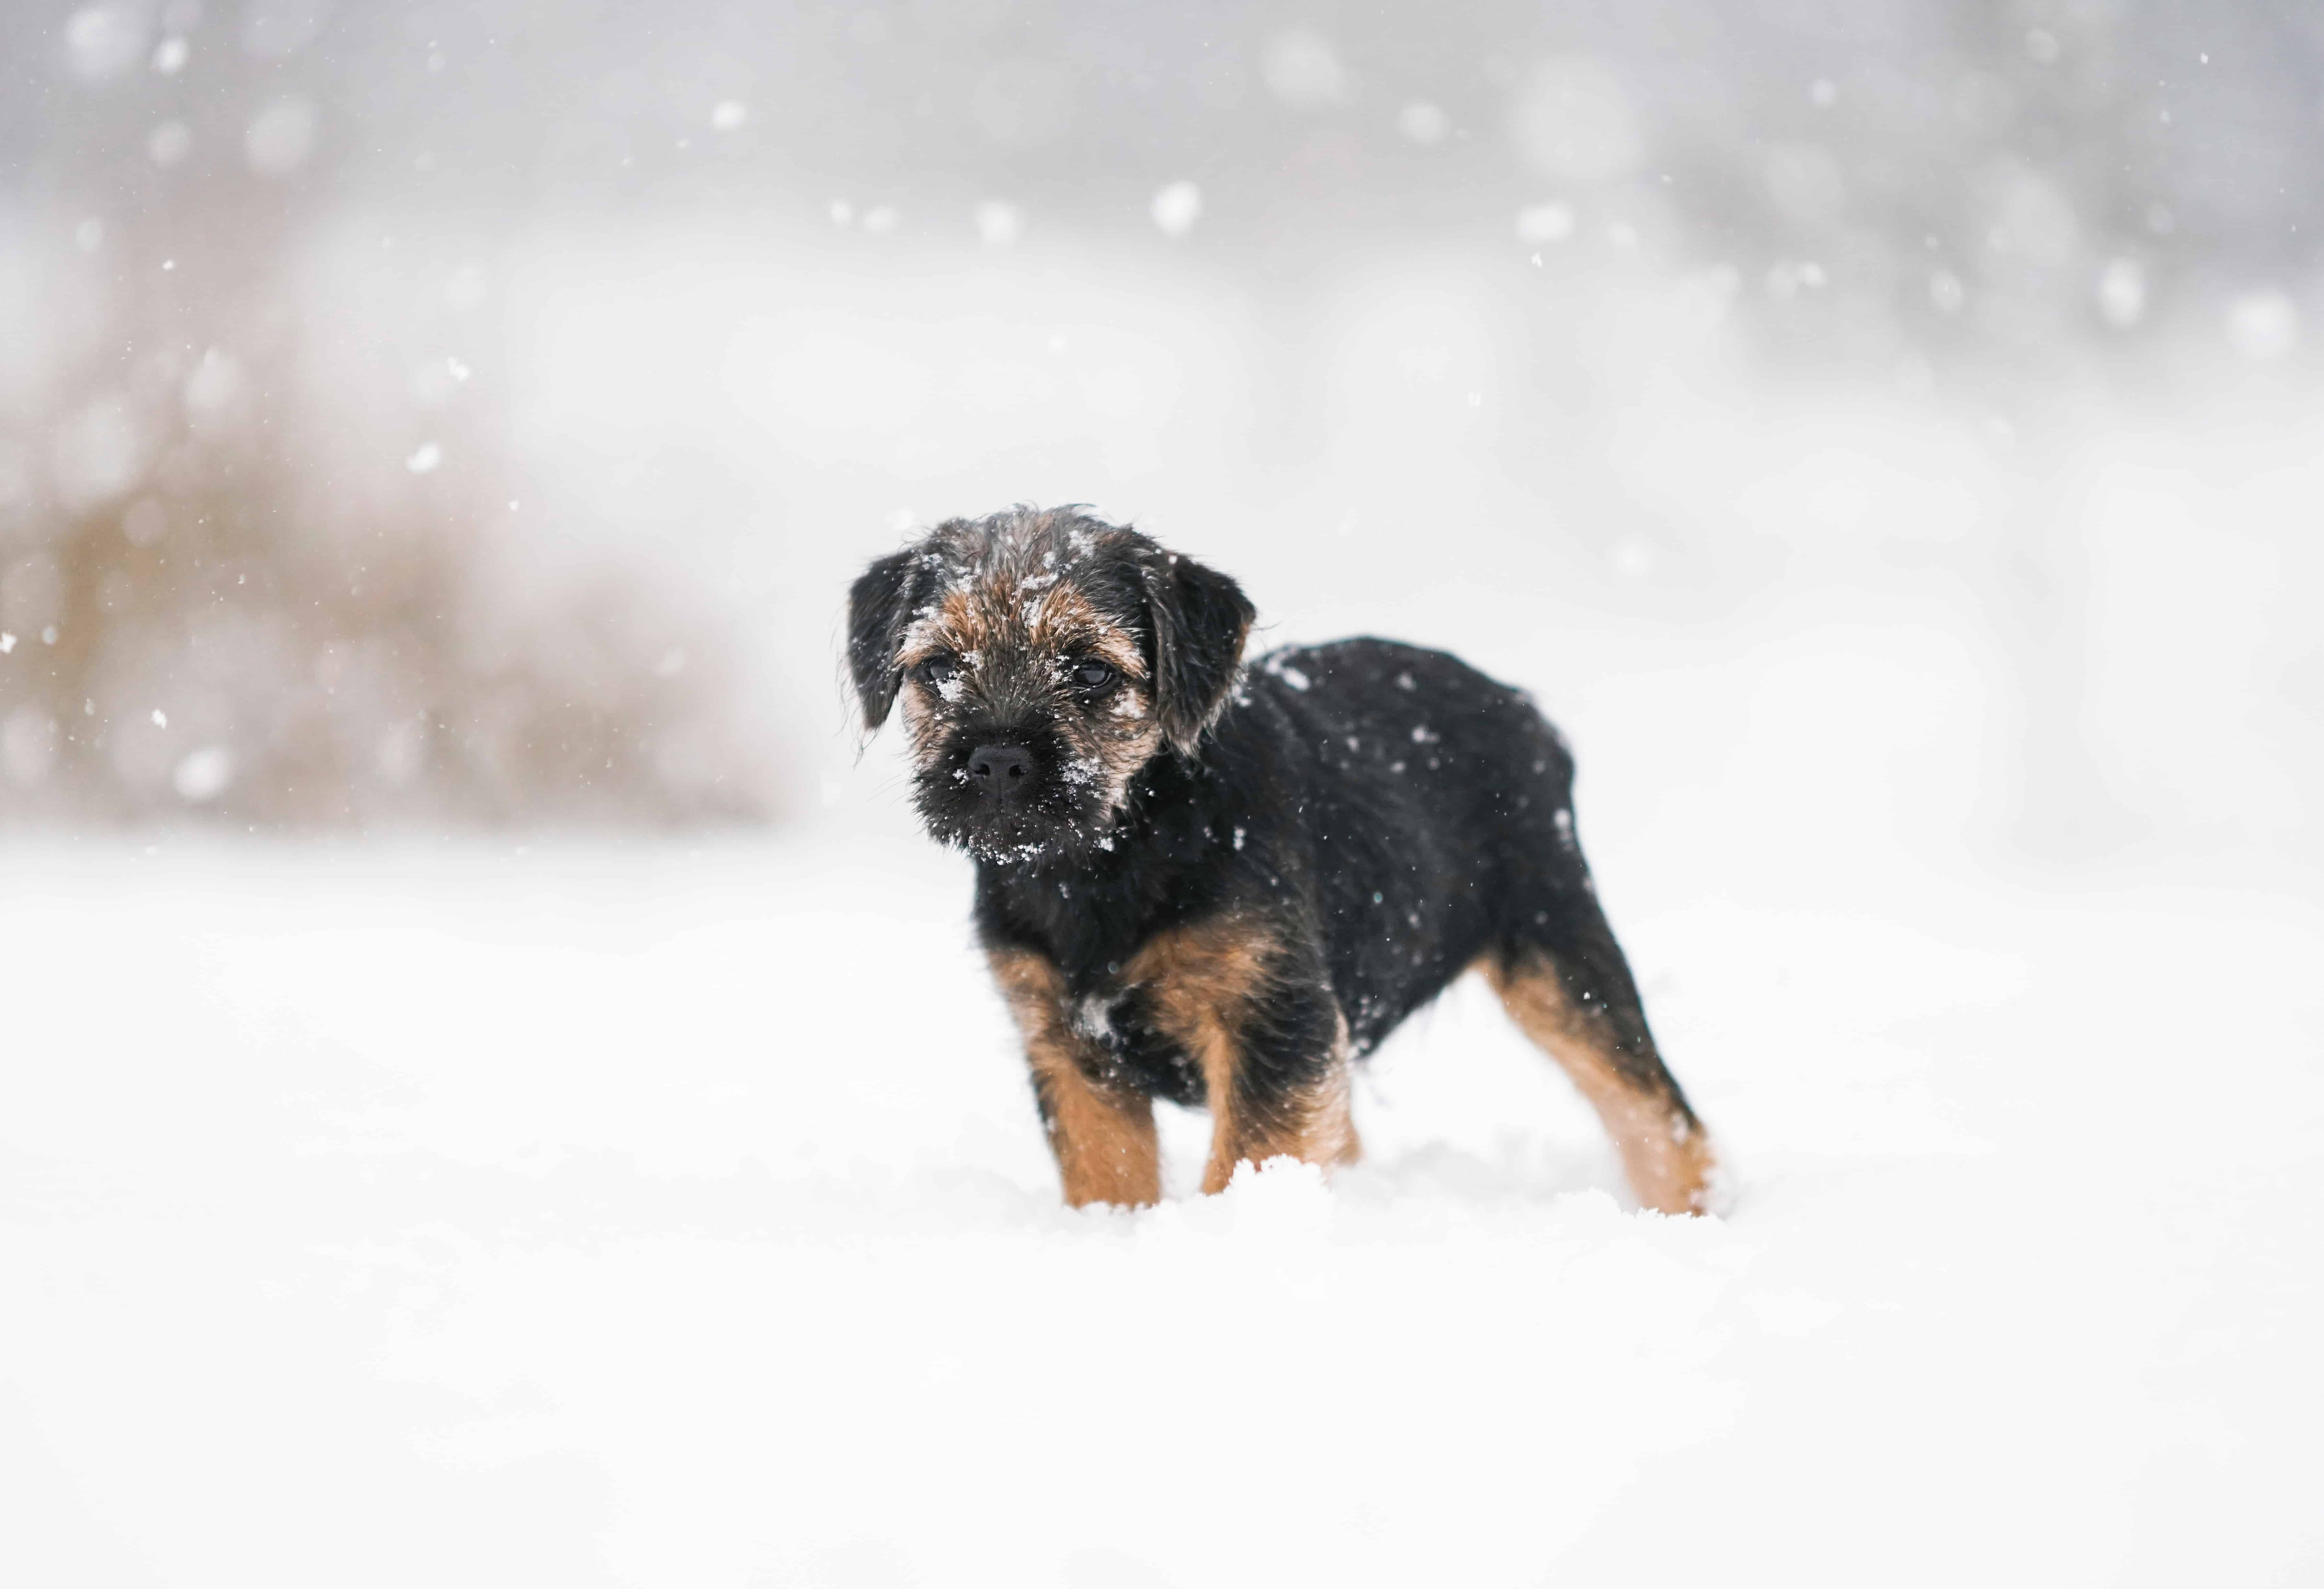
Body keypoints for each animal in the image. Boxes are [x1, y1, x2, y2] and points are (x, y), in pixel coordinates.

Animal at [846, 508, 1720, 1217]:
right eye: (939, 667)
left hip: (1558, 947)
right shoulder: (1070, 1050)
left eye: (1090, 668)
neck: (1110, 856)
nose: (996, 760)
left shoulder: (1272, 1019)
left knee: (1657, 1113)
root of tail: (1524, 709)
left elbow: (1251, 1156)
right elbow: (1108, 1174)